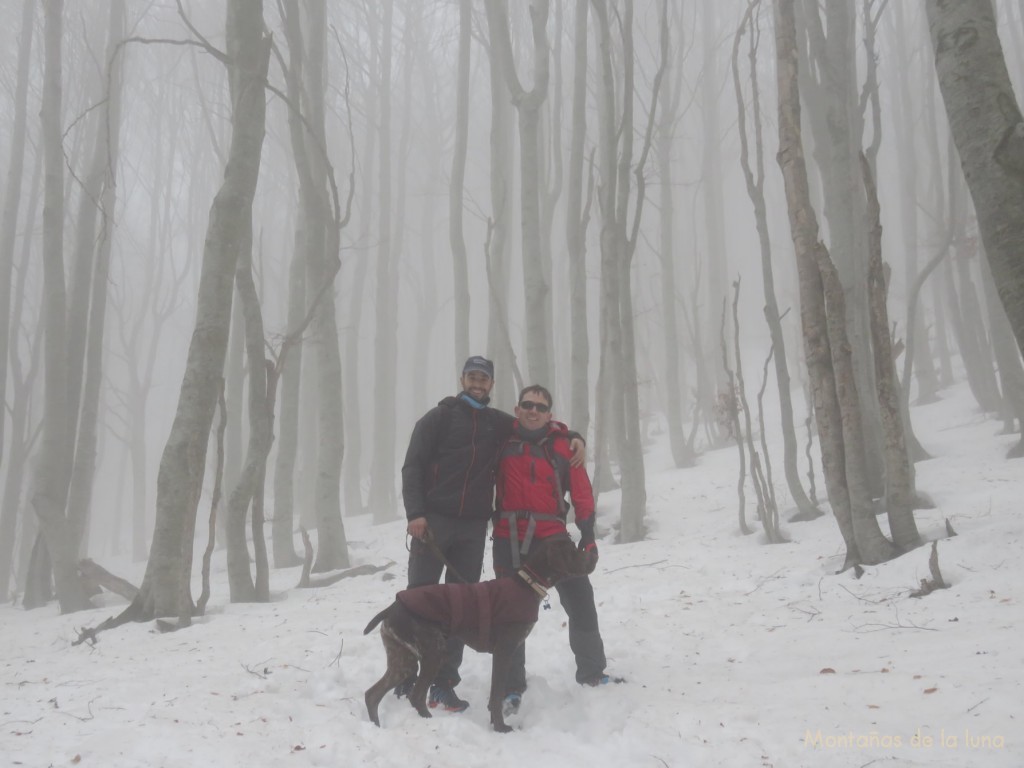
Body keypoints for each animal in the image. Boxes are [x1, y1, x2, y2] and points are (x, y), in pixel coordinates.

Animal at [364, 536, 598, 733]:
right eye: (572, 550)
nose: (594, 555)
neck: (527, 585)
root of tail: (393, 607)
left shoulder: (506, 653)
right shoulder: (503, 651)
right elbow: (496, 695)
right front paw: (501, 728)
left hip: (403, 661)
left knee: (372, 695)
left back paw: (376, 727)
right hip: (433, 654)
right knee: (416, 696)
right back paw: (429, 723)